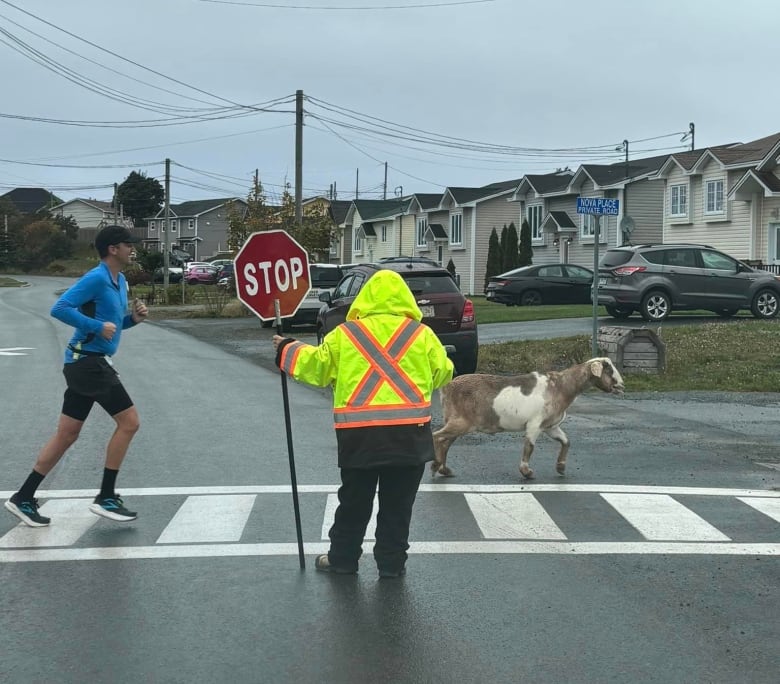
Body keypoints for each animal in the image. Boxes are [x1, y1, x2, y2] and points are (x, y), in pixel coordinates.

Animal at [430, 358, 624, 480]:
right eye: (609, 370)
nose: (621, 386)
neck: (561, 387)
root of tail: (447, 387)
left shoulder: (550, 426)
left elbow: (566, 441)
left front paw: (561, 467)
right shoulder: (534, 423)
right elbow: (529, 446)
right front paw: (527, 472)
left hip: (457, 420)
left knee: (445, 442)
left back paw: (444, 469)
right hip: (461, 421)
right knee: (437, 436)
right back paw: (435, 465)